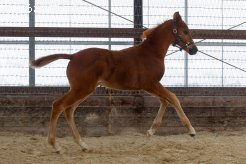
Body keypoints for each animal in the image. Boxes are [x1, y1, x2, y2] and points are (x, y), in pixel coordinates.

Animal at [30, 12, 198, 153]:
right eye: (185, 31)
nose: (194, 50)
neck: (151, 53)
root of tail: (73, 56)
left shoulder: (149, 86)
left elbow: (165, 100)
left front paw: (151, 131)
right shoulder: (151, 84)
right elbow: (173, 98)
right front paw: (191, 130)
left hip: (82, 90)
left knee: (69, 110)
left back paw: (82, 144)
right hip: (81, 89)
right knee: (58, 105)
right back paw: (56, 146)